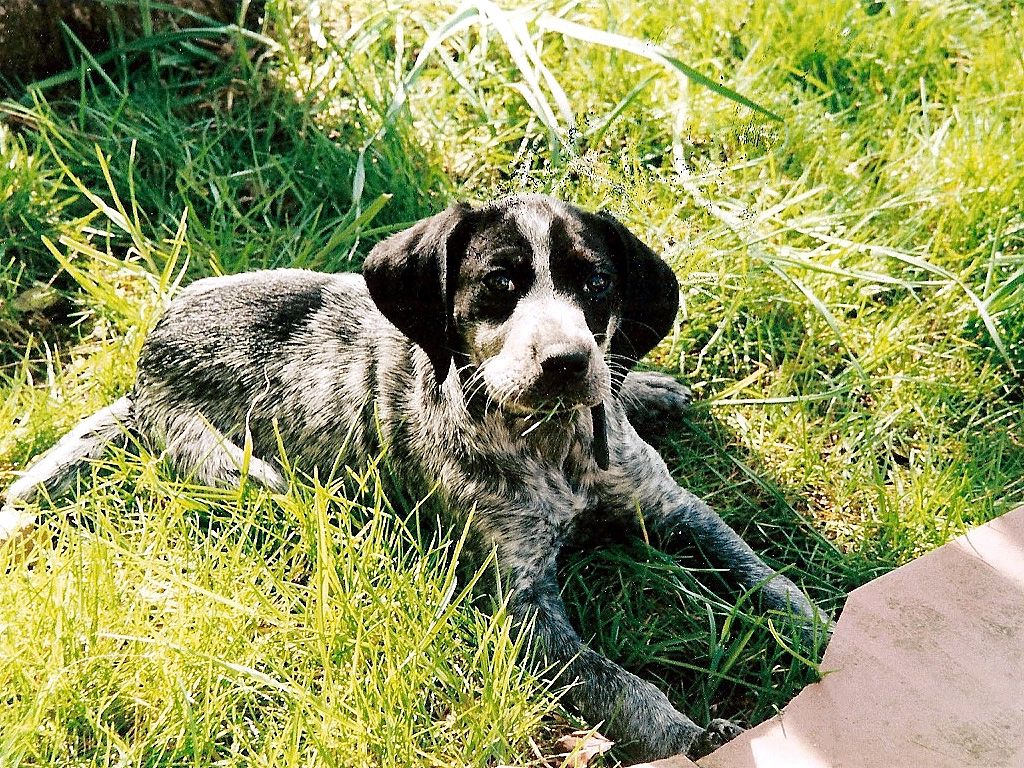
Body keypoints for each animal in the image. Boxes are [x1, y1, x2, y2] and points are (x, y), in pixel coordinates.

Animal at [2, 193, 823, 765]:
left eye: (595, 284)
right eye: (498, 284)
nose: (567, 363)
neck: (550, 448)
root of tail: (144, 364)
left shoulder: (674, 507)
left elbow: (766, 577)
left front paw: (819, 628)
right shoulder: (524, 613)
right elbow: (623, 686)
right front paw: (693, 734)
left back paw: (642, 387)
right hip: (249, 474)